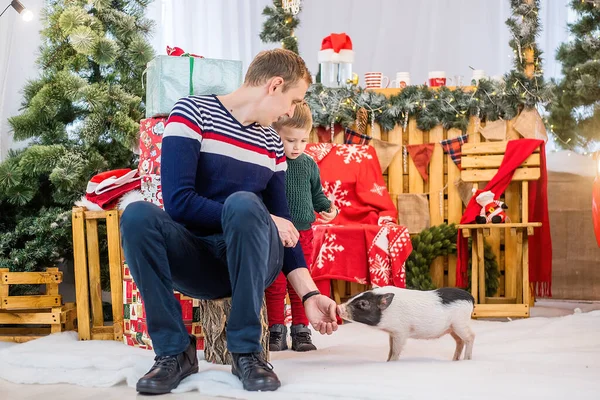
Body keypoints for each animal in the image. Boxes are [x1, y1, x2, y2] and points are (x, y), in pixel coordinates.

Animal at [338, 286, 474, 360]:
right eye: (355, 295)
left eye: (363, 303)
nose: (339, 308)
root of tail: (471, 298)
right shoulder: (392, 333)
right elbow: (390, 348)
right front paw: (386, 360)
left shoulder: (401, 332)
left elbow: (396, 350)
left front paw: (391, 362)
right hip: (452, 328)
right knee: (460, 341)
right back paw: (454, 360)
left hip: (460, 323)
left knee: (471, 337)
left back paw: (466, 359)